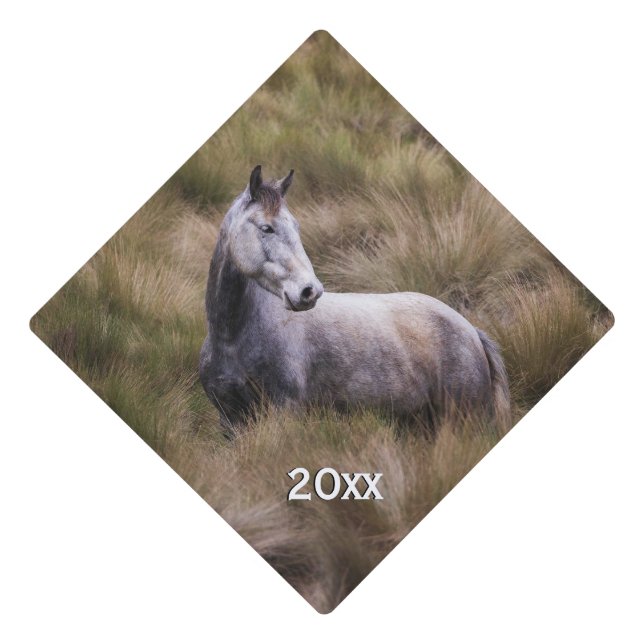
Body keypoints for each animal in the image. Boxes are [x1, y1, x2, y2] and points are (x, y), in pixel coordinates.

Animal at [199, 166, 511, 433]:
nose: (309, 291)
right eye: (266, 228)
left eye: (296, 227)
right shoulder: (230, 420)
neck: (233, 337)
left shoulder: (284, 412)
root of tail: (471, 331)